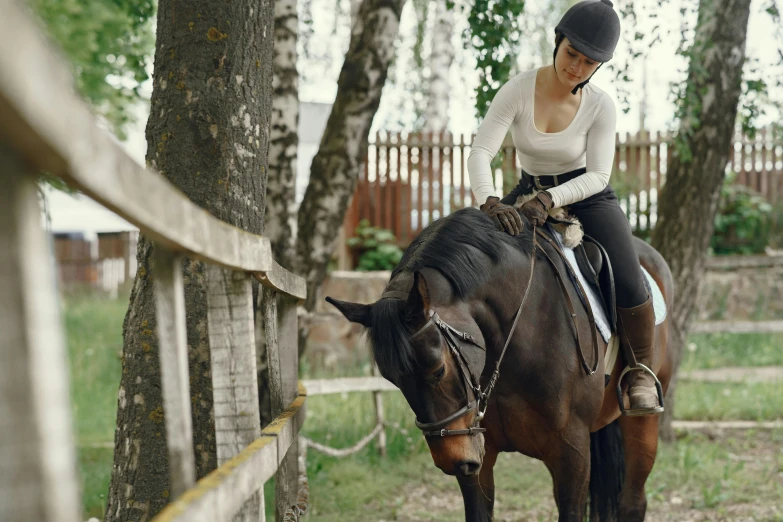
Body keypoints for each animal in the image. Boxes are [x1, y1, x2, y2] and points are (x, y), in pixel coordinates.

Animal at [328, 205, 676, 516]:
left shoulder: (572, 453)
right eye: (393, 380)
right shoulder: (479, 454)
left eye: (437, 370)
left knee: (633, 502)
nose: (451, 461)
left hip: (642, 422)